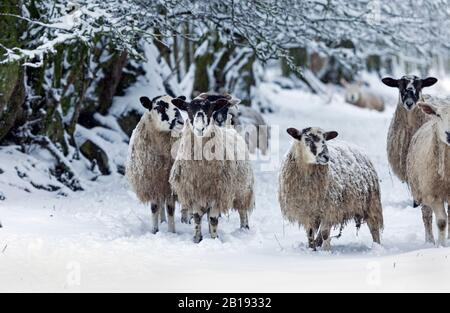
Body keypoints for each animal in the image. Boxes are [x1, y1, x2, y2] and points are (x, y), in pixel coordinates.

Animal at [125, 95, 185, 234]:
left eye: (177, 105)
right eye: (158, 107)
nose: (180, 121)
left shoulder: (170, 186)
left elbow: (170, 208)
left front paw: (171, 231)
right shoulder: (152, 182)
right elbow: (154, 207)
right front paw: (154, 230)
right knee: (160, 204)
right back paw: (162, 221)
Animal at [170, 96, 255, 243]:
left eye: (210, 109)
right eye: (189, 110)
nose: (200, 128)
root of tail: (230, 128)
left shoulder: (218, 193)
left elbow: (214, 219)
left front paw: (214, 239)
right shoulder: (195, 193)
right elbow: (197, 218)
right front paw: (197, 239)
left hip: (243, 190)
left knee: (243, 210)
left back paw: (244, 228)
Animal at [406, 97, 450, 246]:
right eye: (438, 115)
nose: (449, 134)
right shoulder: (433, 194)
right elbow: (441, 222)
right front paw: (441, 245)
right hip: (420, 189)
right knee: (426, 215)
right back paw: (429, 241)